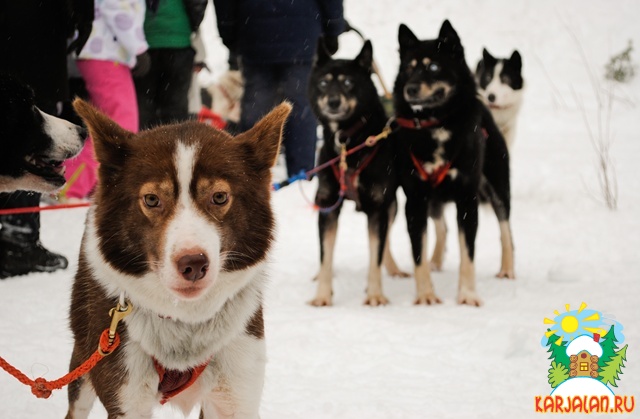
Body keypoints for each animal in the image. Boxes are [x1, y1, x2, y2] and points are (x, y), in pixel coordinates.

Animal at [308, 41, 408, 306]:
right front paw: (322, 295)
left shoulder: (378, 207)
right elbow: (325, 255)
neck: (348, 142)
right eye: (324, 83)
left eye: (348, 82)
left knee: (385, 242)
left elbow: (376, 255)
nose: (333, 101)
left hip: (391, 206)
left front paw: (375, 294)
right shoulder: (327, 205)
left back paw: (392, 269)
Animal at [392, 19, 512, 306]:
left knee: (506, 231)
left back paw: (507, 269)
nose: (410, 88)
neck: (436, 124)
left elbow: (468, 253)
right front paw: (426, 294)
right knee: (442, 228)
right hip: (433, 201)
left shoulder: (468, 199)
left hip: (498, 188)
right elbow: (418, 253)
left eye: (433, 66)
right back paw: (436, 261)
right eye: (408, 68)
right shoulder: (415, 200)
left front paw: (467, 295)